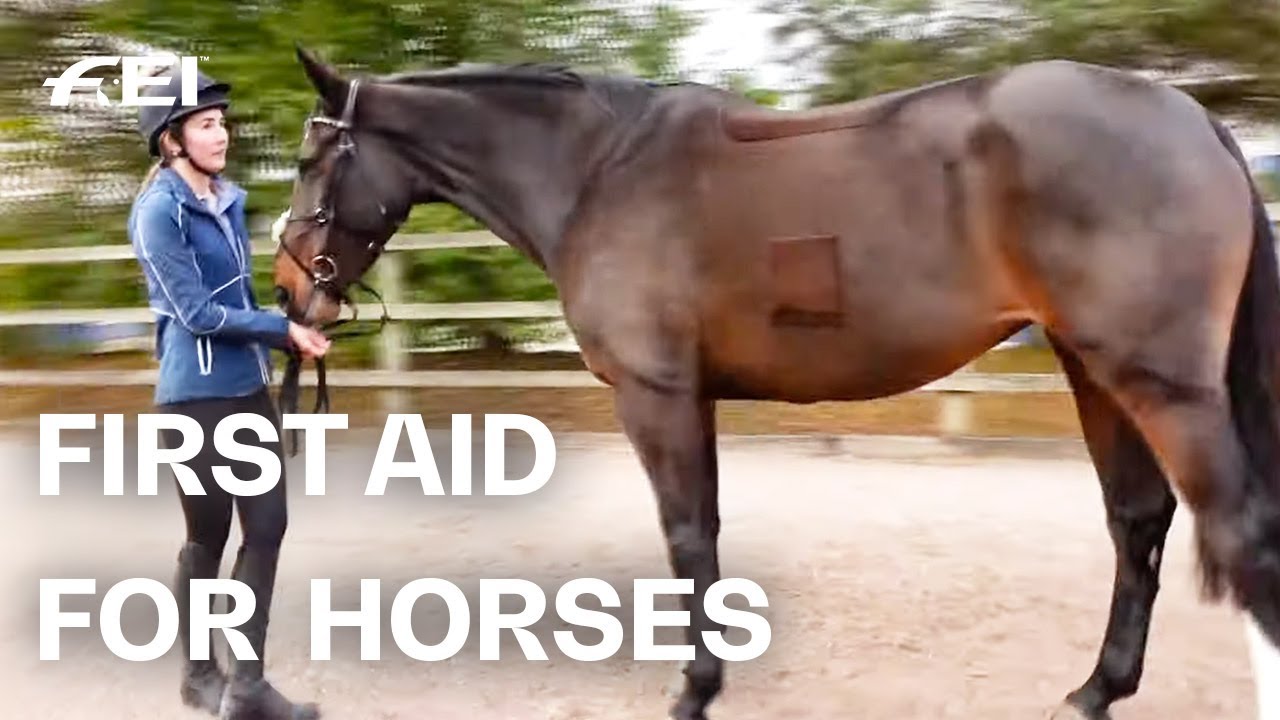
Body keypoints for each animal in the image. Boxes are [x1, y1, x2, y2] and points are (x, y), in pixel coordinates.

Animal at [272, 44, 1280, 720]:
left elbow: (685, 534)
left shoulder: (655, 393)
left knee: (1238, 535)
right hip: (1093, 368)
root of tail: (1194, 119)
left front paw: (694, 689)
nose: (285, 289)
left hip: (1159, 383)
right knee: (1139, 523)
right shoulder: (694, 398)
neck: (596, 171)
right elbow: (706, 532)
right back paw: (1095, 689)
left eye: (313, 160)